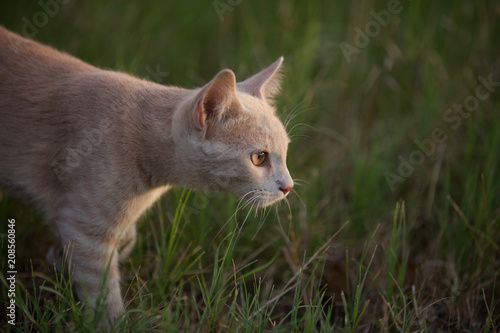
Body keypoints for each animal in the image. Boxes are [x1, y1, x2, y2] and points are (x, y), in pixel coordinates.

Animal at [0, 26, 292, 326]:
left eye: (285, 153)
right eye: (259, 158)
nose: (289, 187)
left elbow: (123, 239)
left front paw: (60, 258)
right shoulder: (85, 226)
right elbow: (103, 295)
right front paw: (113, 324)